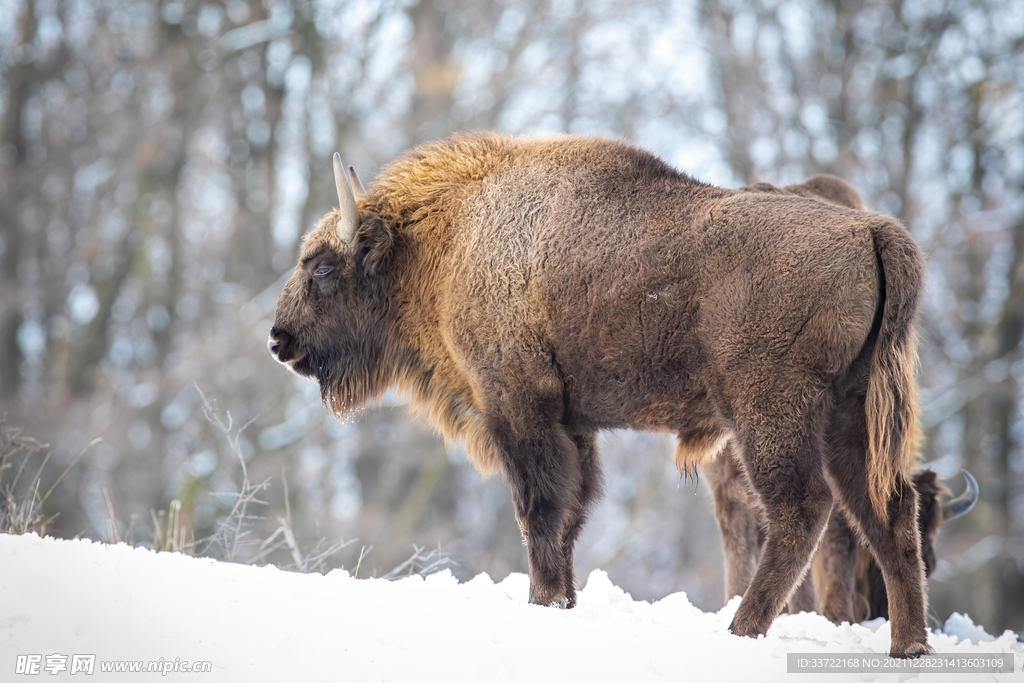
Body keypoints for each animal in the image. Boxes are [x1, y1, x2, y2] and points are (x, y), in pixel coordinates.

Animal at [268, 133, 933, 655]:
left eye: (322, 266)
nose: (278, 339)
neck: (450, 238)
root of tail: (870, 229)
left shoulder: (518, 408)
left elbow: (540, 511)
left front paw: (542, 602)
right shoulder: (574, 424)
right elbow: (571, 515)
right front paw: (561, 603)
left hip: (771, 414)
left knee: (803, 510)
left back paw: (741, 630)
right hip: (850, 414)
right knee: (888, 510)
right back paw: (908, 647)